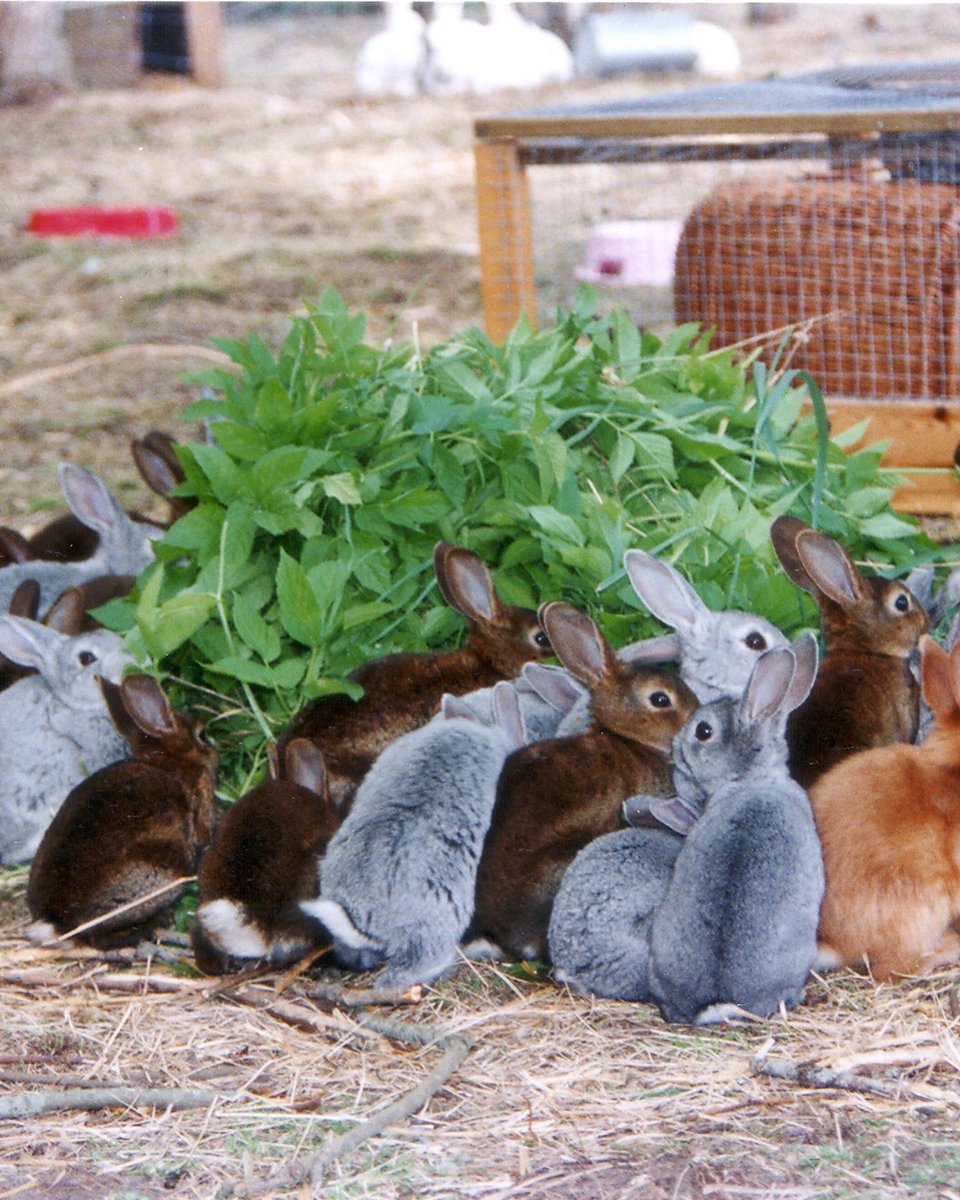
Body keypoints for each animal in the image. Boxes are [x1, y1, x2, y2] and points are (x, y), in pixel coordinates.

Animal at [26, 673, 219, 947]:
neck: (168, 762)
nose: (214, 749)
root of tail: (55, 922)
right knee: (100, 937)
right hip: (156, 875)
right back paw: (154, 925)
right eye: (202, 735)